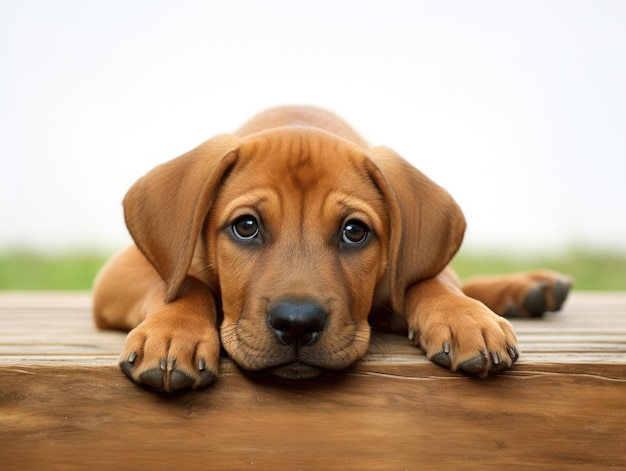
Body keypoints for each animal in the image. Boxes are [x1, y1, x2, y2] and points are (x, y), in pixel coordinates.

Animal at [92, 106, 572, 390]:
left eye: (354, 232)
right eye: (246, 227)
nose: (297, 325)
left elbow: (433, 280)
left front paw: (466, 318)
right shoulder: (125, 268)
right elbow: (180, 283)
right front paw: (174, 332)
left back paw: (532, 287)